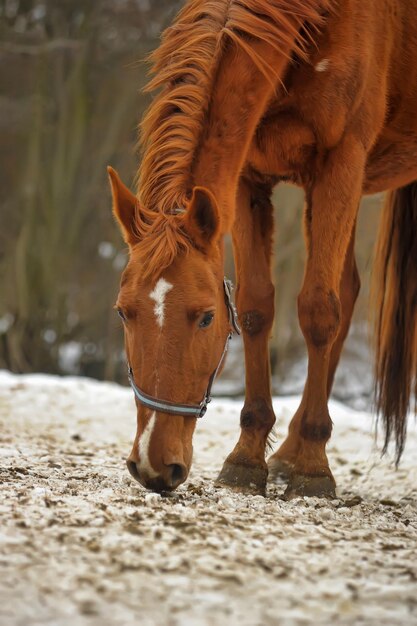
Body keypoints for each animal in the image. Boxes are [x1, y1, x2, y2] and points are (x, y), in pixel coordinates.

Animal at [108, 0, 416, 498]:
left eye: (206, 317)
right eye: (122, 312)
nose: (153, 465)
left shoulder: (342, 161)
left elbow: (318, 310)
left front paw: (314, 467)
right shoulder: (247, 178)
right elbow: (256, 307)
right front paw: (248, 457)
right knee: (348, 289)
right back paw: (287, 451)